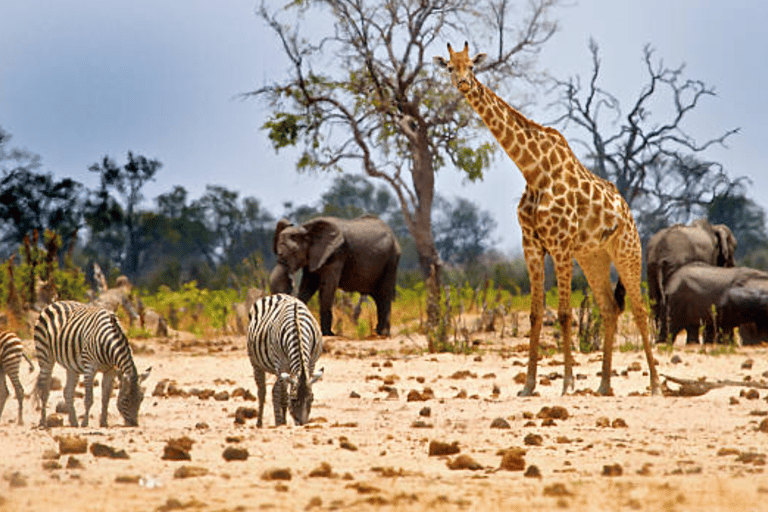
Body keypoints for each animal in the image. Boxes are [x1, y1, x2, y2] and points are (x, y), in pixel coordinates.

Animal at [33, 300, 151, 428]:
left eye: (141, 398)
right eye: (125, 400)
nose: (134, 424)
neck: (107, 343)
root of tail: (55, 303)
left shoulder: (110, 370)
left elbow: (106, 398)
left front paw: (104, 423)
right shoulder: (89, 368)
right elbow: (89, 399)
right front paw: (85, 423)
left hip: (71, 366)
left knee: (68, 392)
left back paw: (74, 422)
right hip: (45, 356)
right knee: (43, 390)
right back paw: (43, 421)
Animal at [249, 294, 324, 426]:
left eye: (312, 398)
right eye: (293, 400)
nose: (302, 425)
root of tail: (276, 295)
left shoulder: (311, 364)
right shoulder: (281, 365)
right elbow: (283, 396)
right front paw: (281, 422)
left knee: (274, 390)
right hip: (256, 363)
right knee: (262, 391)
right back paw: (261, 423)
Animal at [272, 215, 402, 336]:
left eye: (294, 251)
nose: (290, 280)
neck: (307, 229)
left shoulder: (336, 254)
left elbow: (327, 287)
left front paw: (327, 334)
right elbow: (307, 286)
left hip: (391, 261)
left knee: (384, 294)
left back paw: (383, 333)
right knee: (378, 297)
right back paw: (378, 332)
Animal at [436, 43, 664, 396]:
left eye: (472, 66)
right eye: (449, 67)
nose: (462, 83)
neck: (533, 170)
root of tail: (626, 210)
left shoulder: (559, 245)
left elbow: (565, 313)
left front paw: (568, 383)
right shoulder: (531, 245)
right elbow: (535, 313)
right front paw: (529, 385)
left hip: (627, 249)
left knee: (639, 309)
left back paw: (654, 384)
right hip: (593, 256)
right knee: (609, 308)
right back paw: (604, 385)